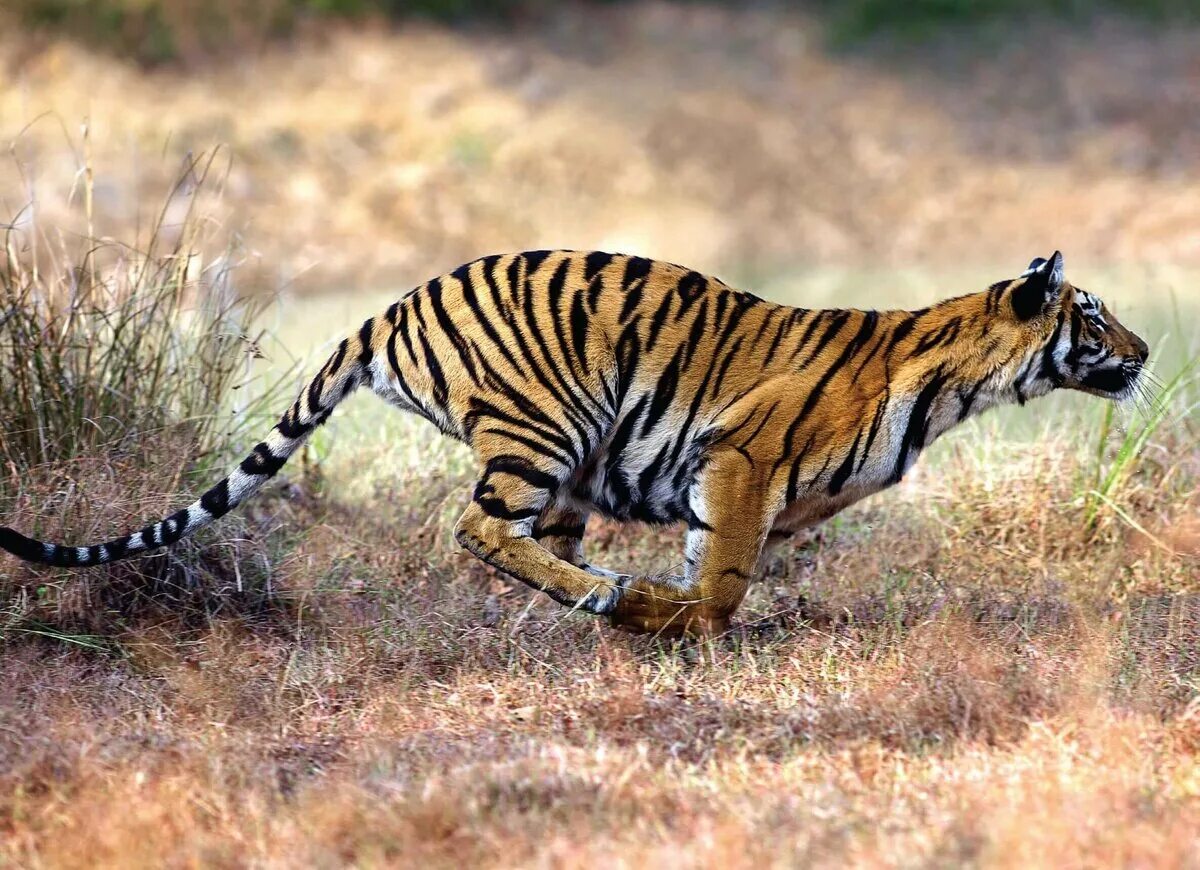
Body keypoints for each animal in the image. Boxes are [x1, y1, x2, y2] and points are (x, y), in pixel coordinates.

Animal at [0, 250, 1149, 637]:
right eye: (1094, 316)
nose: (1142, 353)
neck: (962, 385)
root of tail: (394, 306)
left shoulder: (734, 486)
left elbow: (712, 569)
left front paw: (662, 615)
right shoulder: (743, 458)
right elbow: (724, 582)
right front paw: (669, 617)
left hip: (569, 463)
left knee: (528, 542)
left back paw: (598, 597)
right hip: (544, 423)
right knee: (474, 530)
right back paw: (607, 598)